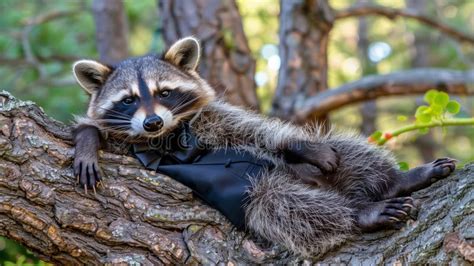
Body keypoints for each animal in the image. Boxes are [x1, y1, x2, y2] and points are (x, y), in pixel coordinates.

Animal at [72, 36, 458, 256]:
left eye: (164, 92)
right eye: (128, 100)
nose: (152, 122)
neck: (168, 137)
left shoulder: (211, 117)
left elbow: (257, 132)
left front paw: (298, 145)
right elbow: (98, 129)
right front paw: (87, 140)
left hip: (327, 168)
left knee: (345, 152)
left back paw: (396, 181)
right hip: (264, 194)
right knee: (280, 205)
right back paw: (360, 214)